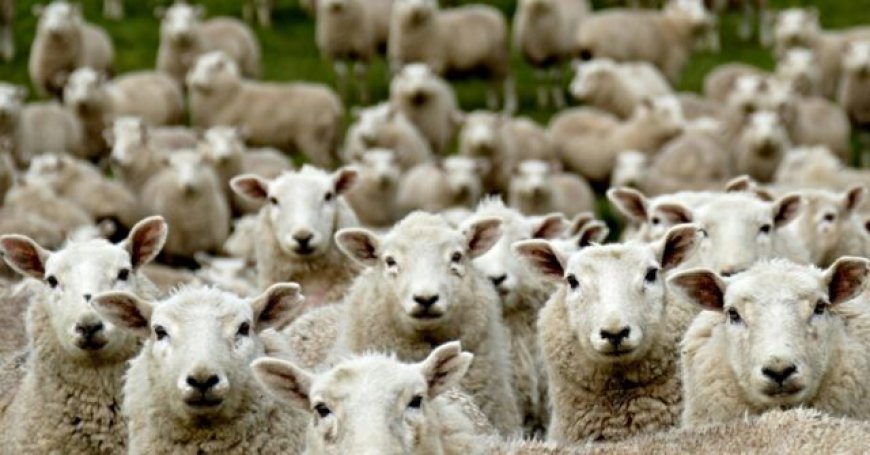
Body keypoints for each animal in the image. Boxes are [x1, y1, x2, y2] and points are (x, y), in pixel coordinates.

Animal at [188, 51, 344, 168]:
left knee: (324, 163)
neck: (232, 94)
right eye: (195, 67)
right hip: (332, 140)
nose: (195, 83)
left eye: (211, 69)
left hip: (313, 139)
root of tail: (333, 101)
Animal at [574, 0, 718, 83]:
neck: (673, 25)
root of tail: (585, 34)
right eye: (686, 9)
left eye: (701, 6)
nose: (702, 20)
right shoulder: (670, 66)